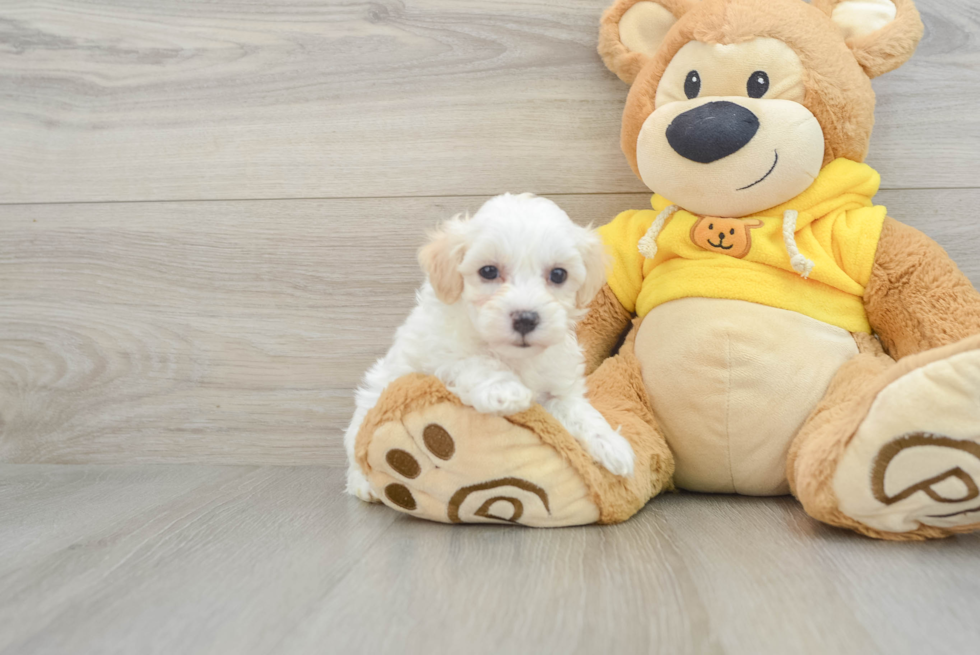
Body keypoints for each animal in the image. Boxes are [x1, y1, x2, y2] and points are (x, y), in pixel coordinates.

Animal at [344, 195, 636, 502]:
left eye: (558, 274)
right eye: (488, 271)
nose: (525, 318)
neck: (516, 357)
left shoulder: (559, 384)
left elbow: (579, 411)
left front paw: (611, 445)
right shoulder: (442, 353)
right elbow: (477, 362)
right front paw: (505, 391)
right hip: (370, 401)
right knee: (356, 449)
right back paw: (363, 484)